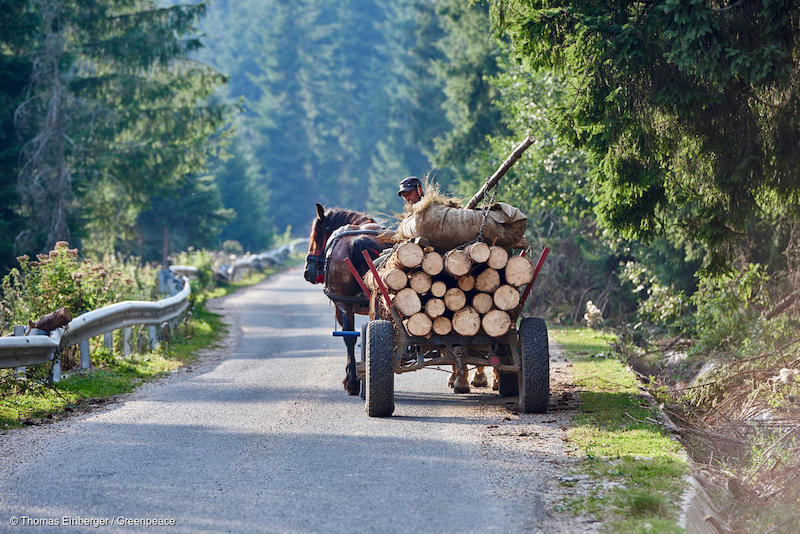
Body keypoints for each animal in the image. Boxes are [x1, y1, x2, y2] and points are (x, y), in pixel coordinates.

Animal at [304, 203, 388, 396]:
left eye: (316, 236)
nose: (306, 272)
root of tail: (358, 241)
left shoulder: (341, 305)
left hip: (344, 304)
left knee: (349, 337)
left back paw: (351, 381)